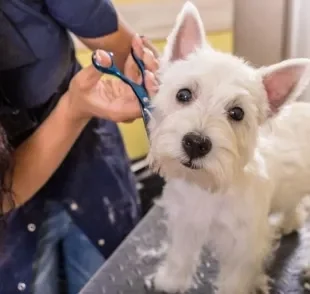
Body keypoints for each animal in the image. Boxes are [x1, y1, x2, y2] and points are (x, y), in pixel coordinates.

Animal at [146, 2, 310, 294]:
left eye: (237, 113)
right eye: (183, 94)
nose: (195, 143)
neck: (208, 187)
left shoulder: (243, 248)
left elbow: (235, 279)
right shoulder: (186, 221)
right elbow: (180, 255)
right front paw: (170, 281)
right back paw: (287, 222)